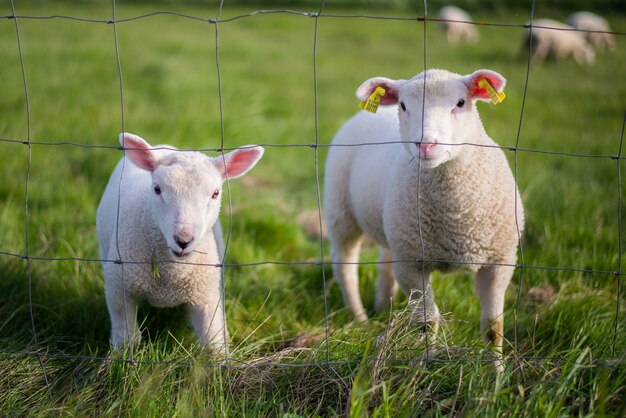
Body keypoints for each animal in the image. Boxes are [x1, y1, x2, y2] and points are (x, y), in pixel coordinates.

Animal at [95, 133, 264, 350]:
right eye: (157, 189)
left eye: (215, 193)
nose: (183, 240)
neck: (171, 276)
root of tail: (163, 145)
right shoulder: (119, 290)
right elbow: (126, 339)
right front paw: (118, 357)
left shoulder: (205, 295)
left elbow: (212, 340)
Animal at [322, 68, 520, 372]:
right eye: (404, 105)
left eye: (461, 102)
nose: (426, 145)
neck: (457, 219)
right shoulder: (412, 264)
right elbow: (426, 321)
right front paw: (428, 364)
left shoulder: (500, 261)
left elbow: (492, 327)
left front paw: (496, 374)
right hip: (341, 214)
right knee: (345, 267)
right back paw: (360, 319)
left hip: (393, 227)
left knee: (384, 263)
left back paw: (384, 306)